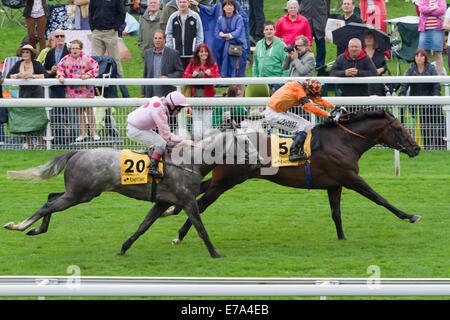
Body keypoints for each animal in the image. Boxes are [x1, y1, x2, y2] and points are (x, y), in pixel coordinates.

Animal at [3, 129, 258, 258]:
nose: (257, 161)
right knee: (48, 205)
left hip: (79, 192)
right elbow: (201, 228)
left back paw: (36, 229)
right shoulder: (187, 200)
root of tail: (78, 152)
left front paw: (124, 248)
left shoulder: (162, 202)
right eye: (246, 143)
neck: (190, 161)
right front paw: (215, 254)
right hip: (79, 194)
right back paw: (20, 226)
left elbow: (143, 226)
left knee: (51, 197)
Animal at [164, 110, 422, 245]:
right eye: (399, 128)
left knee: (198, 192)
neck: (342, 141)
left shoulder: (335, 184)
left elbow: (336, 213)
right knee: (200, 204)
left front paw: (341, 238)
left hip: (225, 180)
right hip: (225, 182)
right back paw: (179, 234)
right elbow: (379, 198)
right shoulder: (350, 178)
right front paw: (409, 215)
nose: (417, 148)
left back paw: (171, 211)